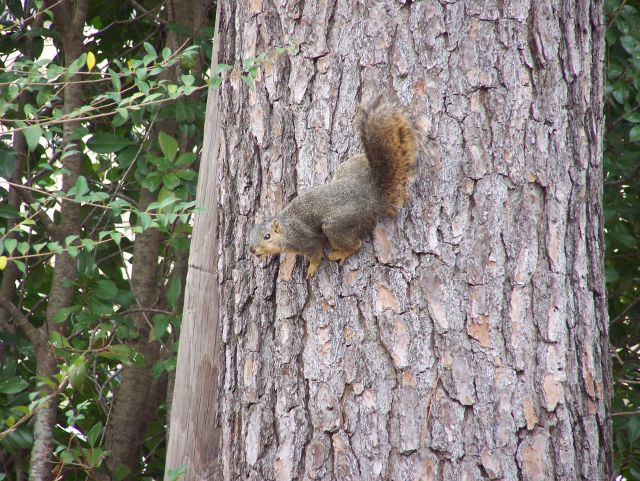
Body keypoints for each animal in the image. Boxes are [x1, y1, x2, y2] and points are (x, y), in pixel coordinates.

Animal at [248, 98, 418, 278]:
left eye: (267, 236)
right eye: (250, 235)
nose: (252, 250)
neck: (285, 229)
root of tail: (372, 195)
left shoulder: (304, 240)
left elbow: (316, 253)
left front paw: (311, 268)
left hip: (337, 225)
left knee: (356, 244)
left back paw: (340, 253)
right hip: (349, 168)